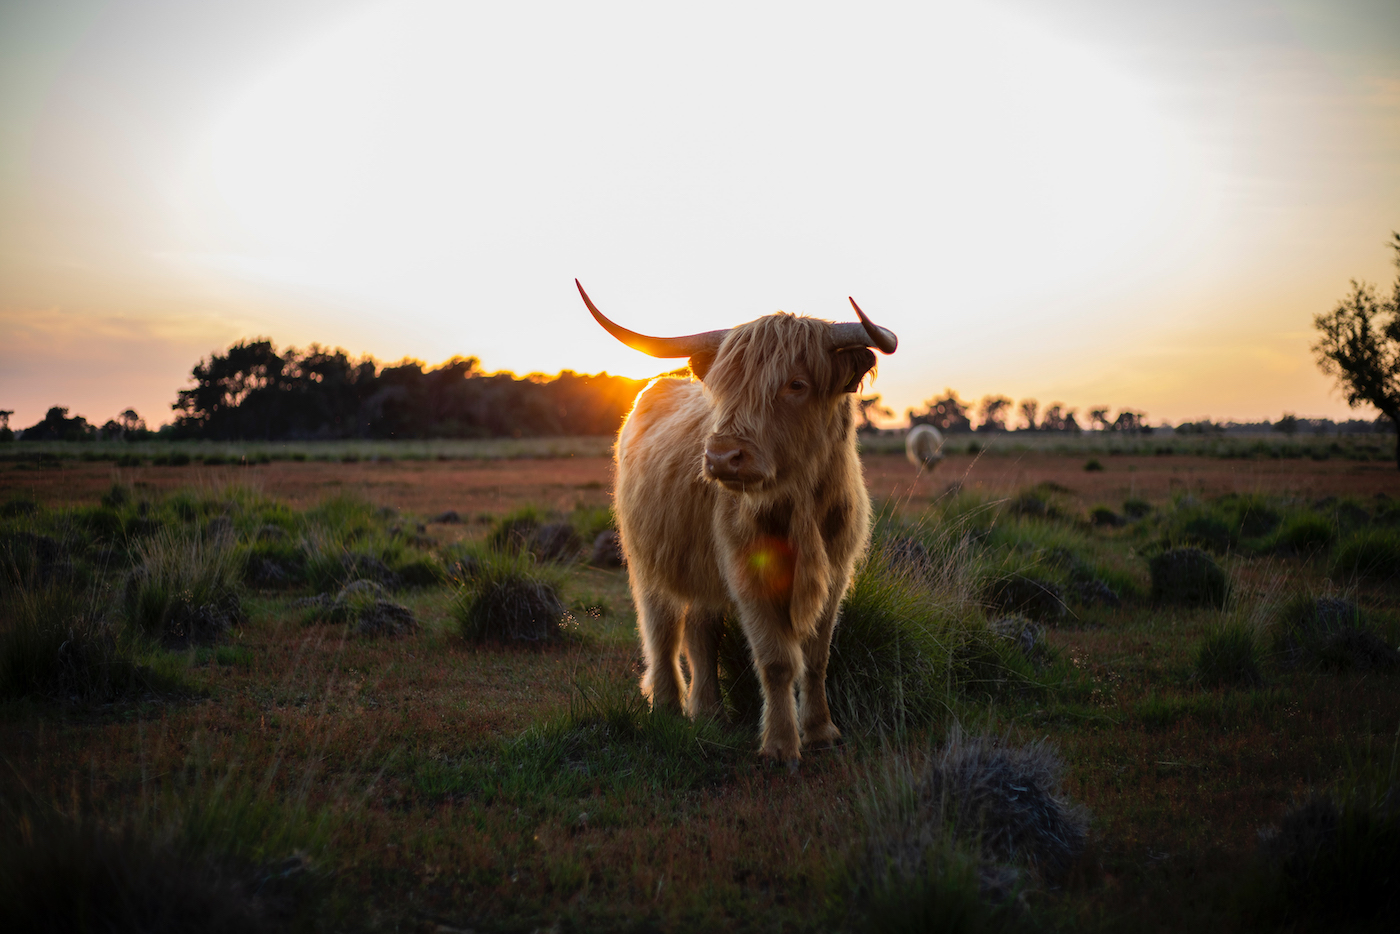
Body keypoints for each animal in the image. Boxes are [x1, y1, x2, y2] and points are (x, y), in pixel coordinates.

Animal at [576, 280, 896, 767]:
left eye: (796, 384)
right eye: (724, 386)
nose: (722, 456)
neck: (799, 507)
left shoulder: (836, 571)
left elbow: (817, 657)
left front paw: (821, 732)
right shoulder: (747, 572)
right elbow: (777, 659)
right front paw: (780, 746)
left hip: (701, 566)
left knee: (699, 628)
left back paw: (709, 712)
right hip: (648, 562)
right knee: (661, 628)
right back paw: (668, 706)